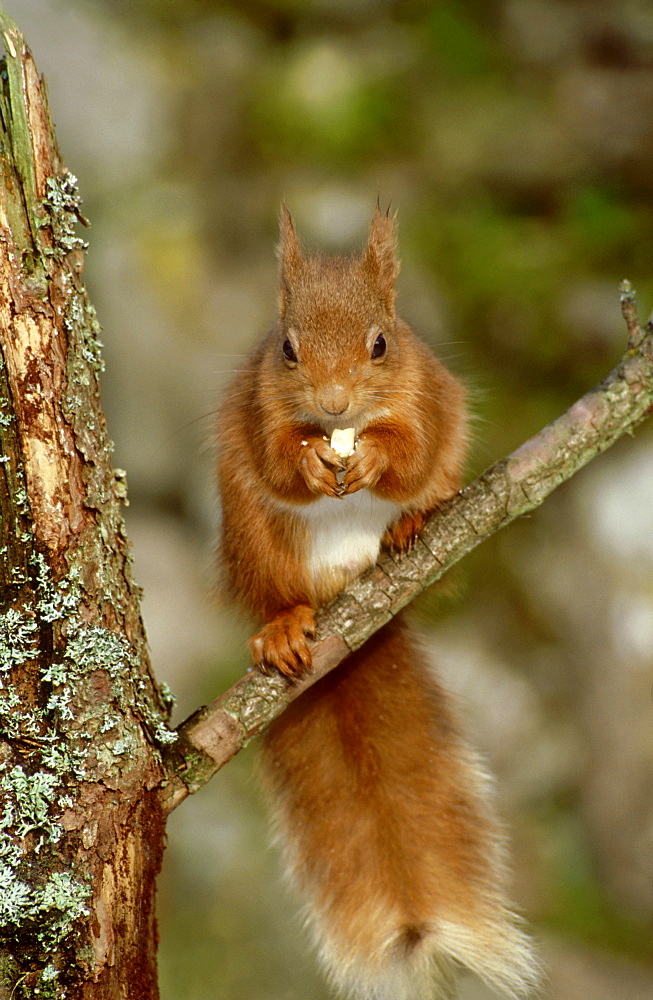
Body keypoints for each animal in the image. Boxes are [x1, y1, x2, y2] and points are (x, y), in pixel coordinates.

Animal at [216, 205, 536, 1000]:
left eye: (382, 343)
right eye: (287, 349)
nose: (332, 405)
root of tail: (351, 608)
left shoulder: (427, 394)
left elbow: (413, 449)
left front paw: (375, 458)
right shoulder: (257, 411)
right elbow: (277, 460)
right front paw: (307, 462)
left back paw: (409, 527)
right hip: (256, 542)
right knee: (277, 590)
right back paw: (283, 626)